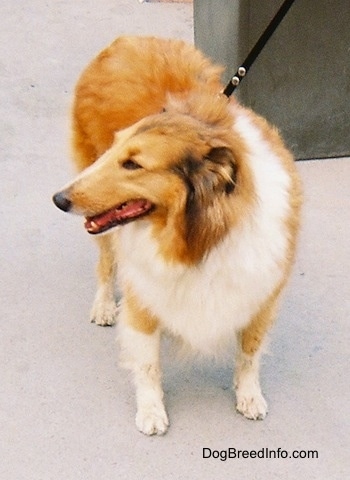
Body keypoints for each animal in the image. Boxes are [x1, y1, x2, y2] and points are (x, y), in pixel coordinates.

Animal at [53, 36, 302, 436]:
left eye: (133, 164)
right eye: (117, 152)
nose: (58, 199)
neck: (198, 239)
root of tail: (127, 39)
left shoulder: (261, 293)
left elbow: (249, 352)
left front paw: (249, 397)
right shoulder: (144, 292)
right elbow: (148, 363)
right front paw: (152, 411)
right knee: (106, 262)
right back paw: (104, 305)